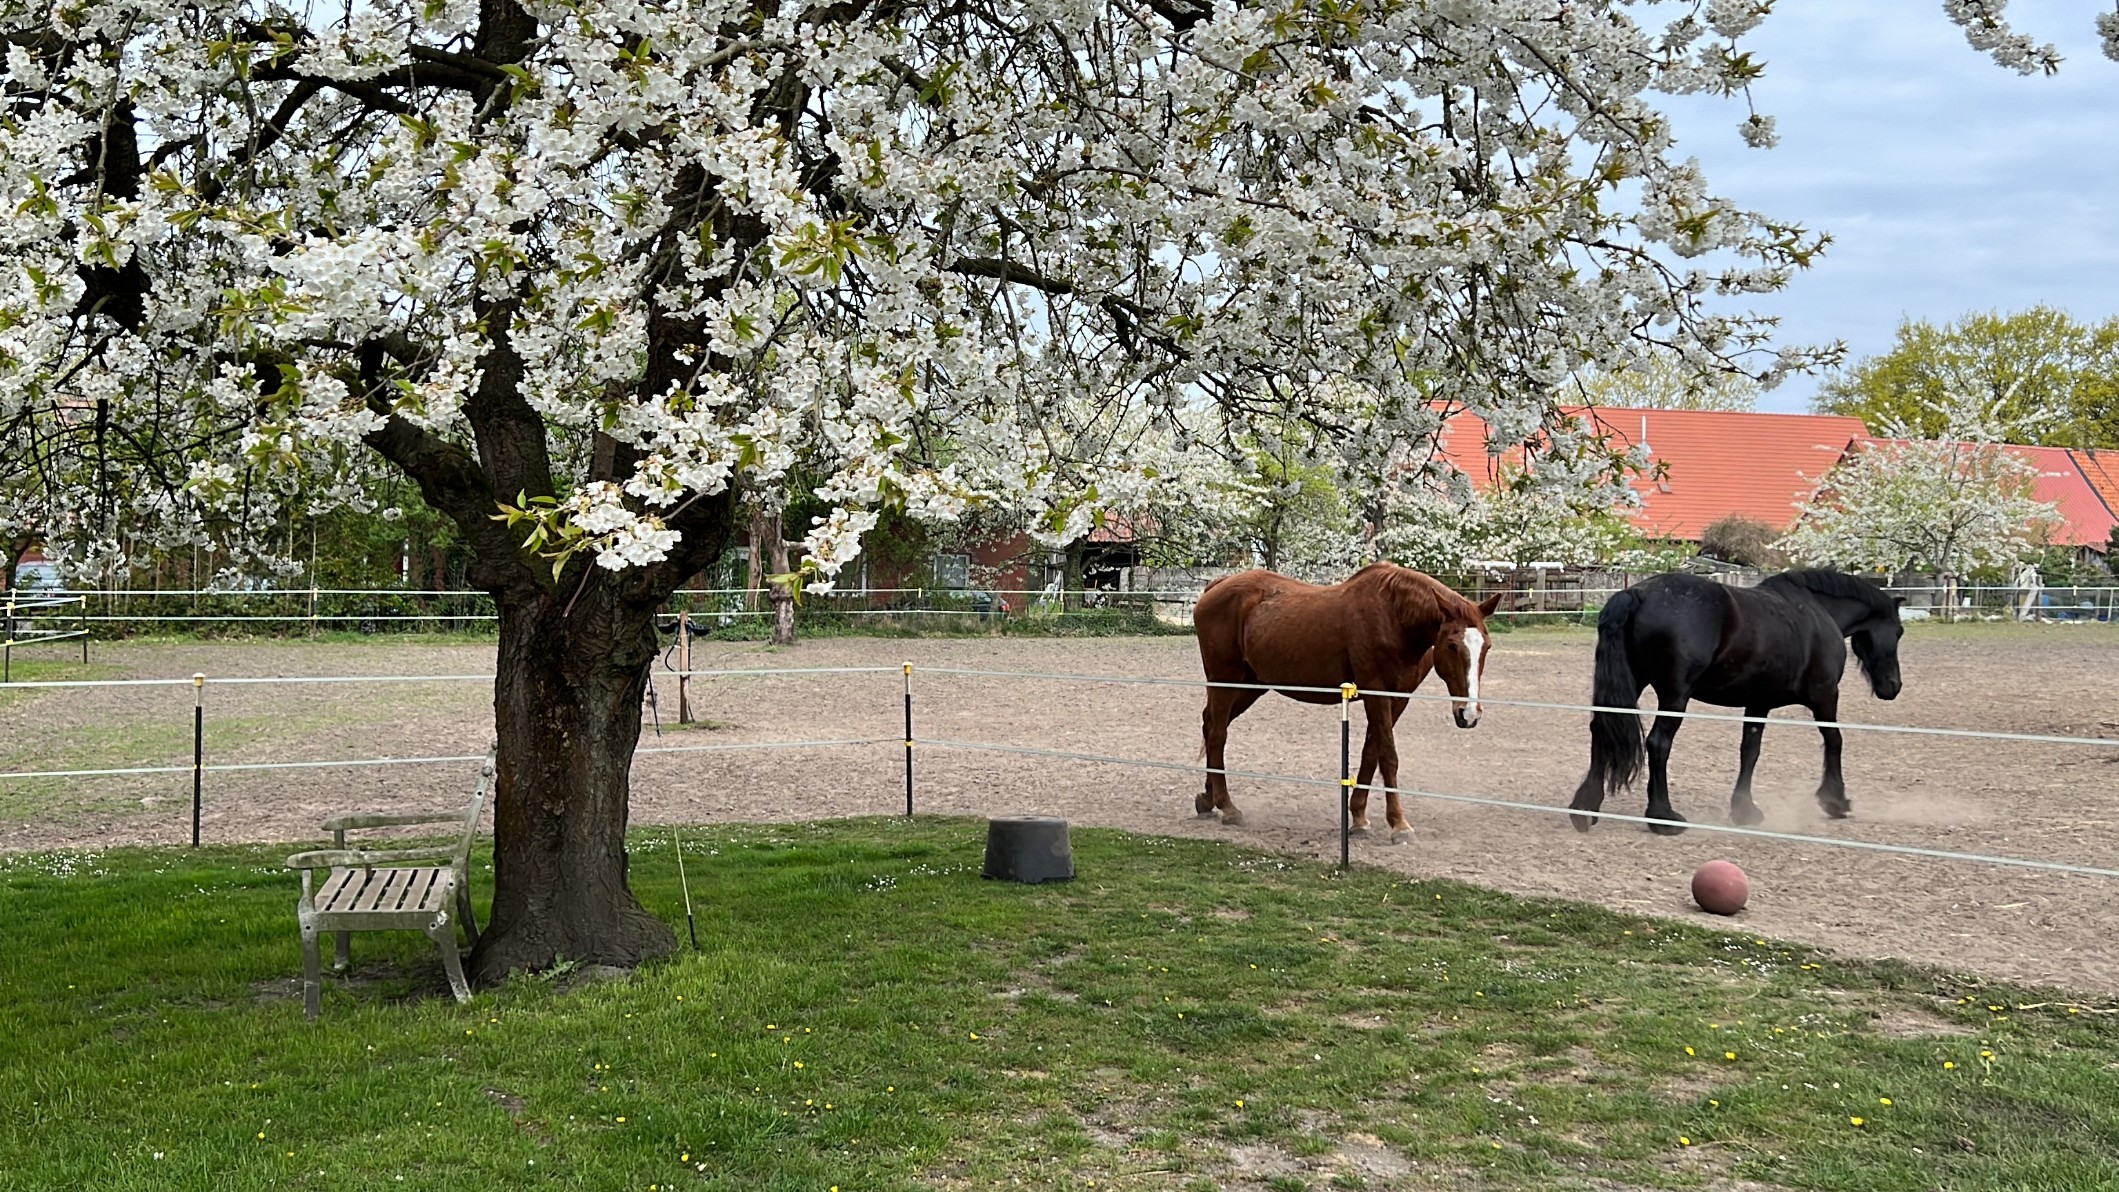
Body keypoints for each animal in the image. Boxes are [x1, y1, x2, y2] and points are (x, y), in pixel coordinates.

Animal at [1195, 567, 1508, 838]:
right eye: (1452, 645)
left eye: (1487, 646)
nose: (1469, 713)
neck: (1394, 618)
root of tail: (1215, 587)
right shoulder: (1376, 692)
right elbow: (1389, 756)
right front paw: (1399, 824)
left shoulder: (1398, 699)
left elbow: (1372, 752)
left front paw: (1358, 816)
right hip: (1224, 680)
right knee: (1218, 735)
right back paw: (1228, 807)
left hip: (1251, 685)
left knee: (1210, 726)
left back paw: (1208, 799)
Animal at [1576, 571, 1907, 834]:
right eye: (1899, 631)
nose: (1893, 686)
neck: (1817, 612)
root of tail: (1637, 594)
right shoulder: (1825, 695)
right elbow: (1834, 740)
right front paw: (1835, 800)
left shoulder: (1759, 703)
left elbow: (1750, 751)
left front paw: (1744, 809)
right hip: (1674, 697)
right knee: (1658, 744)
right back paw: (1663, 817)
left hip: (1633, 685)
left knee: (1601, 731)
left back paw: (1585, 808)